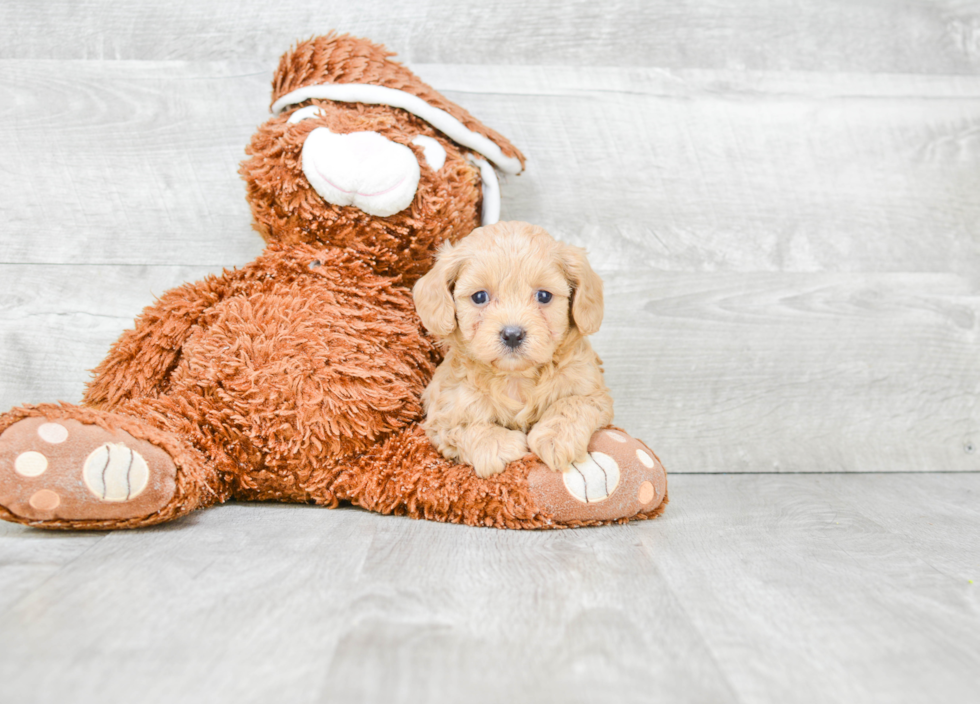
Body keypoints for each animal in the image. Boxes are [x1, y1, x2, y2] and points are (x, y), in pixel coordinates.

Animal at [412, 221, 612, 478]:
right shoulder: (444, 413)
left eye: (544, 296)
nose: (513, 335)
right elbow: (465, 427)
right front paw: (499, 445)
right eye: (480, 296)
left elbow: (572, 404)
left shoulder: (593, 393)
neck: (516, 377)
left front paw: (555, 437)